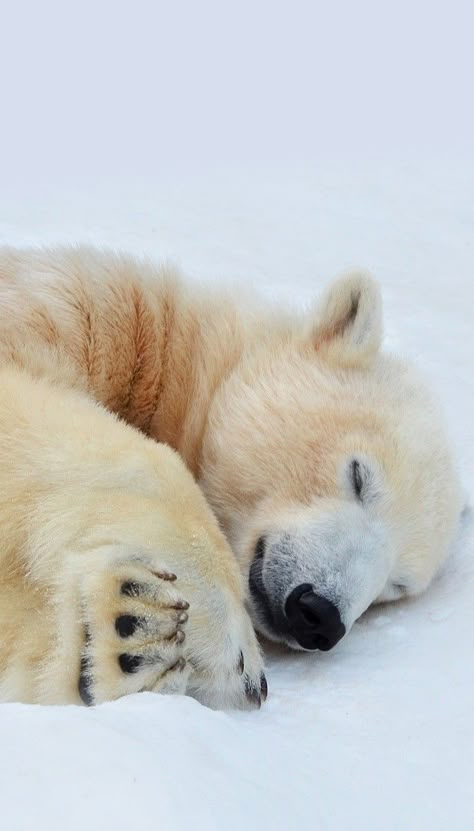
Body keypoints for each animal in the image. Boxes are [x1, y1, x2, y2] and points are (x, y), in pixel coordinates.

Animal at [0, 245, 462, 708]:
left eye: (397, 585)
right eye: (358, 476)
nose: (320, 615)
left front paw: (127, 635)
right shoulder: (79, 311)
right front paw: (229, 649)